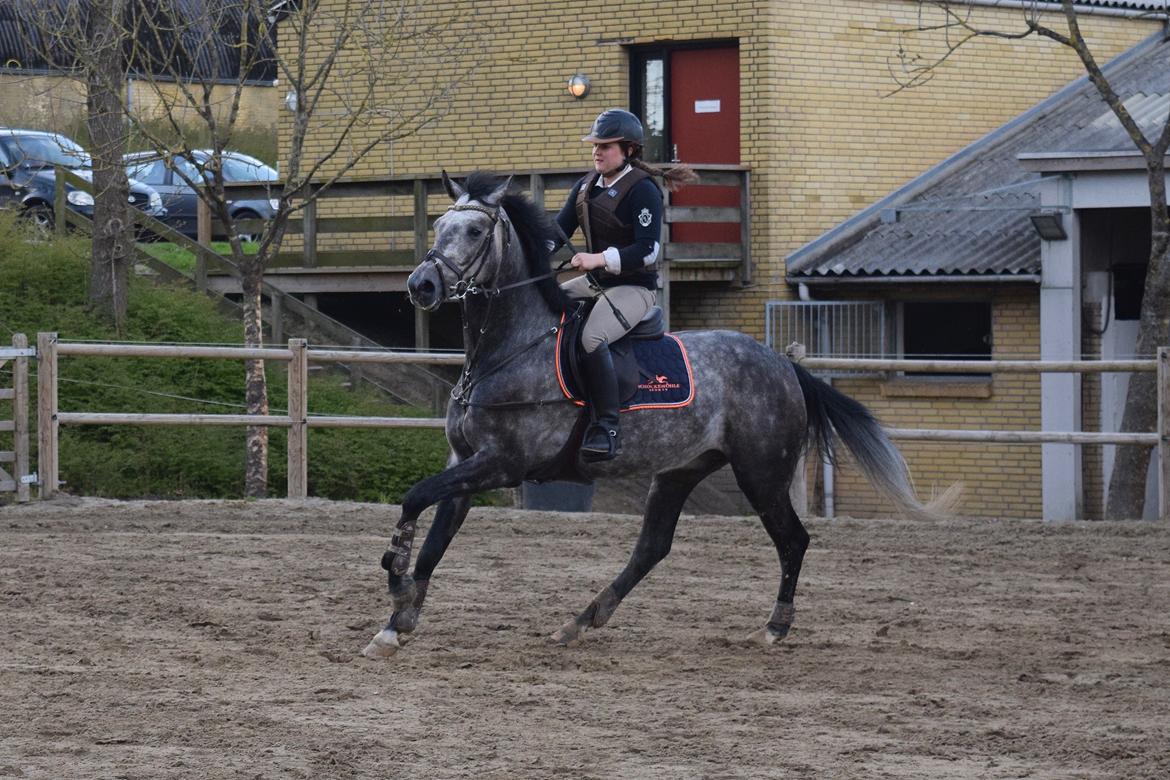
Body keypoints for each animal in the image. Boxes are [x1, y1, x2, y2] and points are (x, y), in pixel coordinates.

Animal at [360, 171, 954, 659]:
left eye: (475, 232)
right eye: (440, 224)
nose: (421, 286)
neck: (508, 347)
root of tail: (783, 365)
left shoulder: (501, 464)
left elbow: (413, 498)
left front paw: (394, 571)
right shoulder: (464, 462)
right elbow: (435, 538)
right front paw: (398, 621)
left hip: (760, 473)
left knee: (793, 540)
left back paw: (774, 627)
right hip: (679, 470)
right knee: (653, 547)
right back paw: (581, 621)